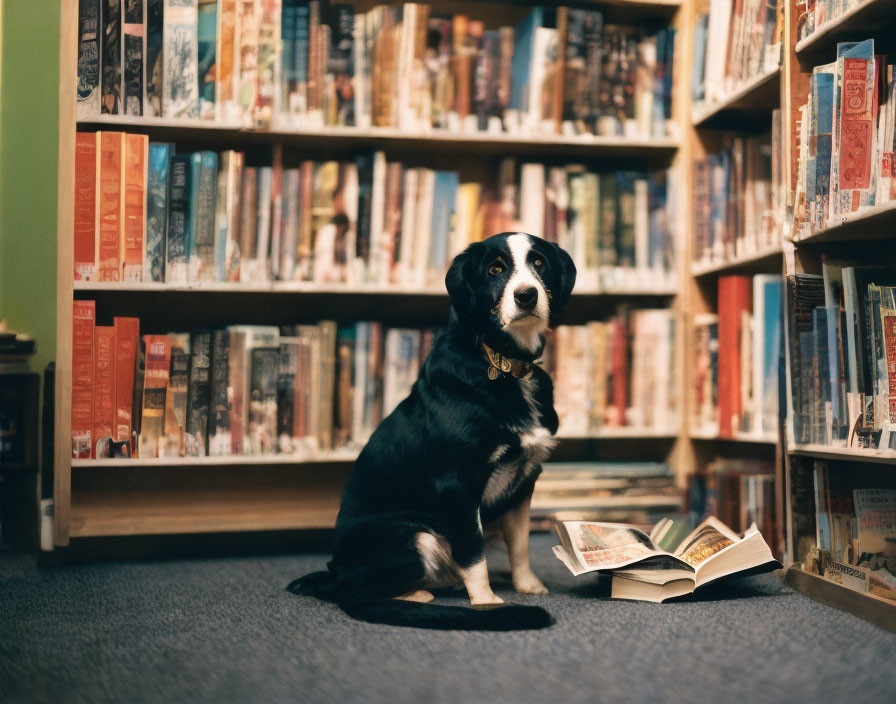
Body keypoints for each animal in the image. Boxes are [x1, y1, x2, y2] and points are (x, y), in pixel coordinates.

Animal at [290, 234, 576, 628]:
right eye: (495, 269)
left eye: (538, 263)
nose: (526, 296)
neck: (503, 364)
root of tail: (337, 571)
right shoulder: (458, 484)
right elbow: (473, 550)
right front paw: (487, 603)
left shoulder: (524, 480)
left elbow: (519, 543)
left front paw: (527, 584)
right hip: (413, 536)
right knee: (359, 588)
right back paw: (419, 595)